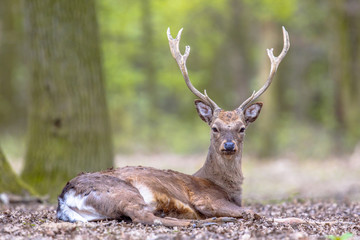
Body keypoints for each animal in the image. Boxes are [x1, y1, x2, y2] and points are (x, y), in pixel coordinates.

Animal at [57, 26, 292, 227]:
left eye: (241, 128)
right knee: (144, 216)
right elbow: (255, 212)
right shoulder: (207, 199)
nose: (228, 145)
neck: (226, 188)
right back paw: (207, 221)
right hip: (122, 191)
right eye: (214, 128)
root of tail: (64, 196)